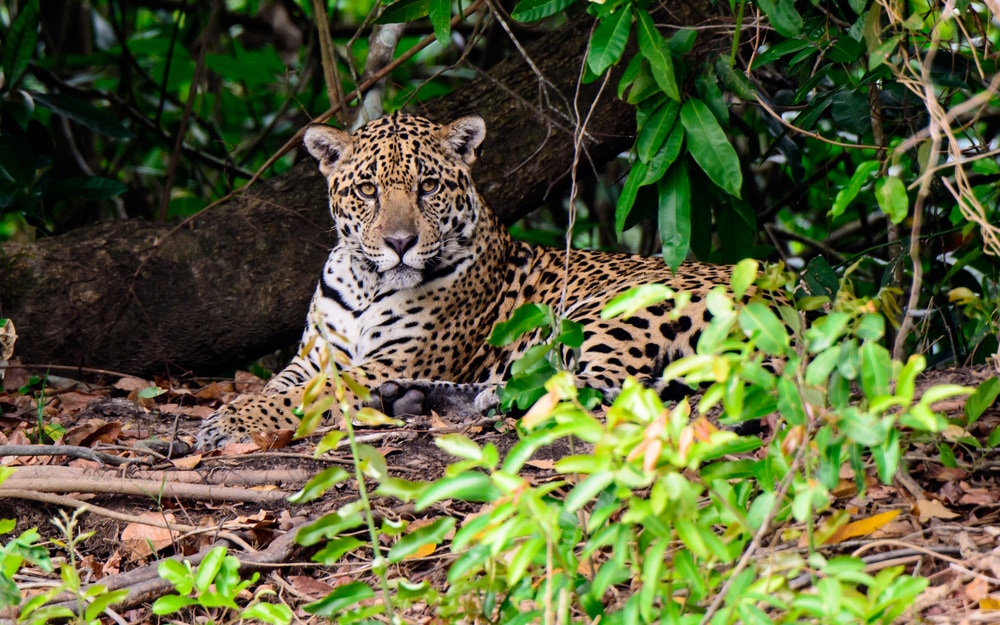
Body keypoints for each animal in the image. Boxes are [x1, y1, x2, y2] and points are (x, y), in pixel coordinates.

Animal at [196, 112, 739, 448]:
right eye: (368, 190)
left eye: (428, 186)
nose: (399, 242)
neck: (365, 283)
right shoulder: (314, 356)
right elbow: (281, 388)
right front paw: (234, 413)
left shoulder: (390, 358)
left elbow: (310, 394)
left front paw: (232, 422)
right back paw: (413, 397)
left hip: (616, 310)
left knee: (603, 386)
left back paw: (494, 397)